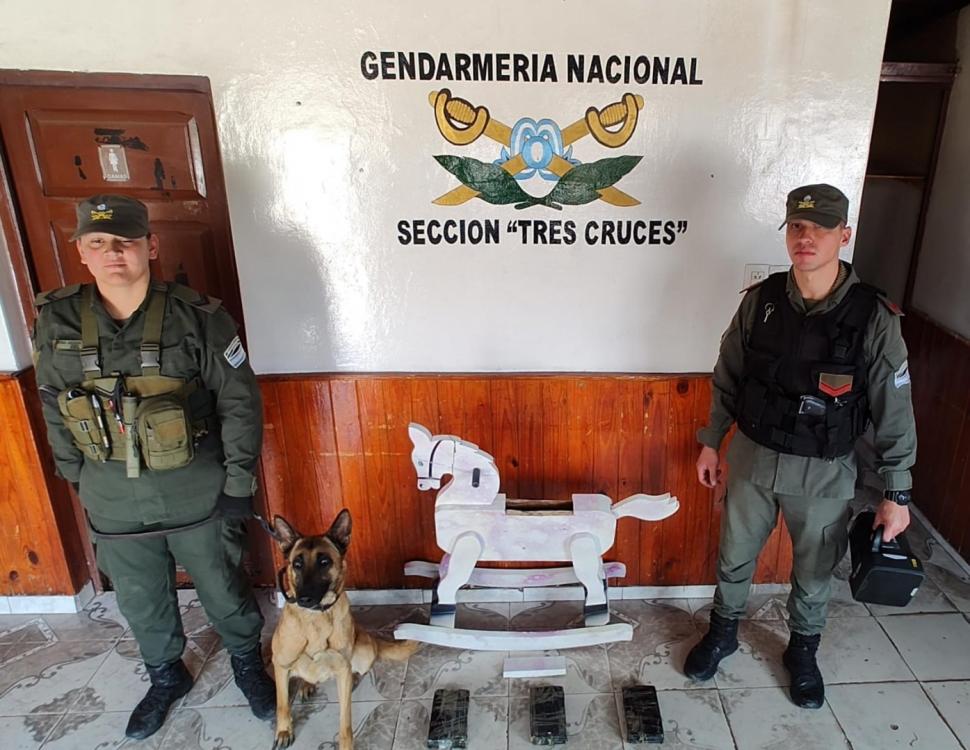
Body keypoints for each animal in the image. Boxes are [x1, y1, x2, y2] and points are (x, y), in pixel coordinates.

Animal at [268, 508, 416, 748]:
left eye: (324, 561)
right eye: (297, 564)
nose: (304, 599)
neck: (316, 619)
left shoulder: (341, 667)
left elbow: (345, 721)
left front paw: (346, 744)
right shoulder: (280, 664)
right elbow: (282, 704)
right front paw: (283, 731)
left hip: (364, 649)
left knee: (357, 669)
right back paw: (306, 685)